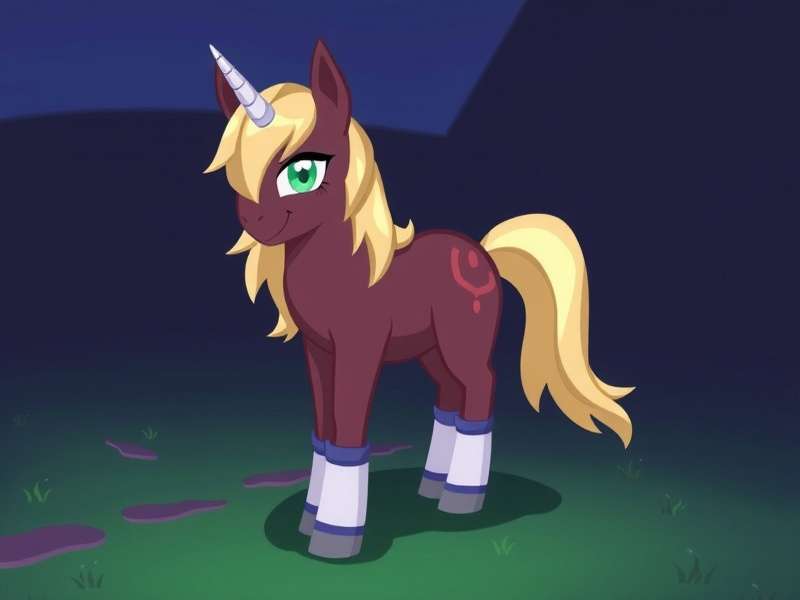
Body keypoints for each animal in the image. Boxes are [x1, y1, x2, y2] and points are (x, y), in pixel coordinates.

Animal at [204, 40, 634, 559]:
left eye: (304, 173)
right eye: (236, 175)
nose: (255, 222)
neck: (347, 268)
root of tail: (483, 253)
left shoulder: (359, 350)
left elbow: (347, 428)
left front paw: (335, 535)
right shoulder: (318, 351)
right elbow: (324, 430)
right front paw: (310, 519)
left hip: (463, 344)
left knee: (480, 388)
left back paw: (461, 498)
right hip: (432, 350)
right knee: (450, 396)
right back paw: (433, 485)